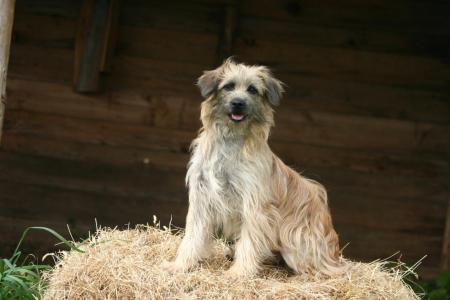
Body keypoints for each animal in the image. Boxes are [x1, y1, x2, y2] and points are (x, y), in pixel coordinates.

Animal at [162, 59, 342, 278]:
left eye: (253, 90)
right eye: (229, 86)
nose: (238, 103)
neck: (230, 139)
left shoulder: (255, 205)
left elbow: (250, 241)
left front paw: (239, 272)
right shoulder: (202, 199)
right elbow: (193, 236)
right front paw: (180, 265)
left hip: (295, 238)